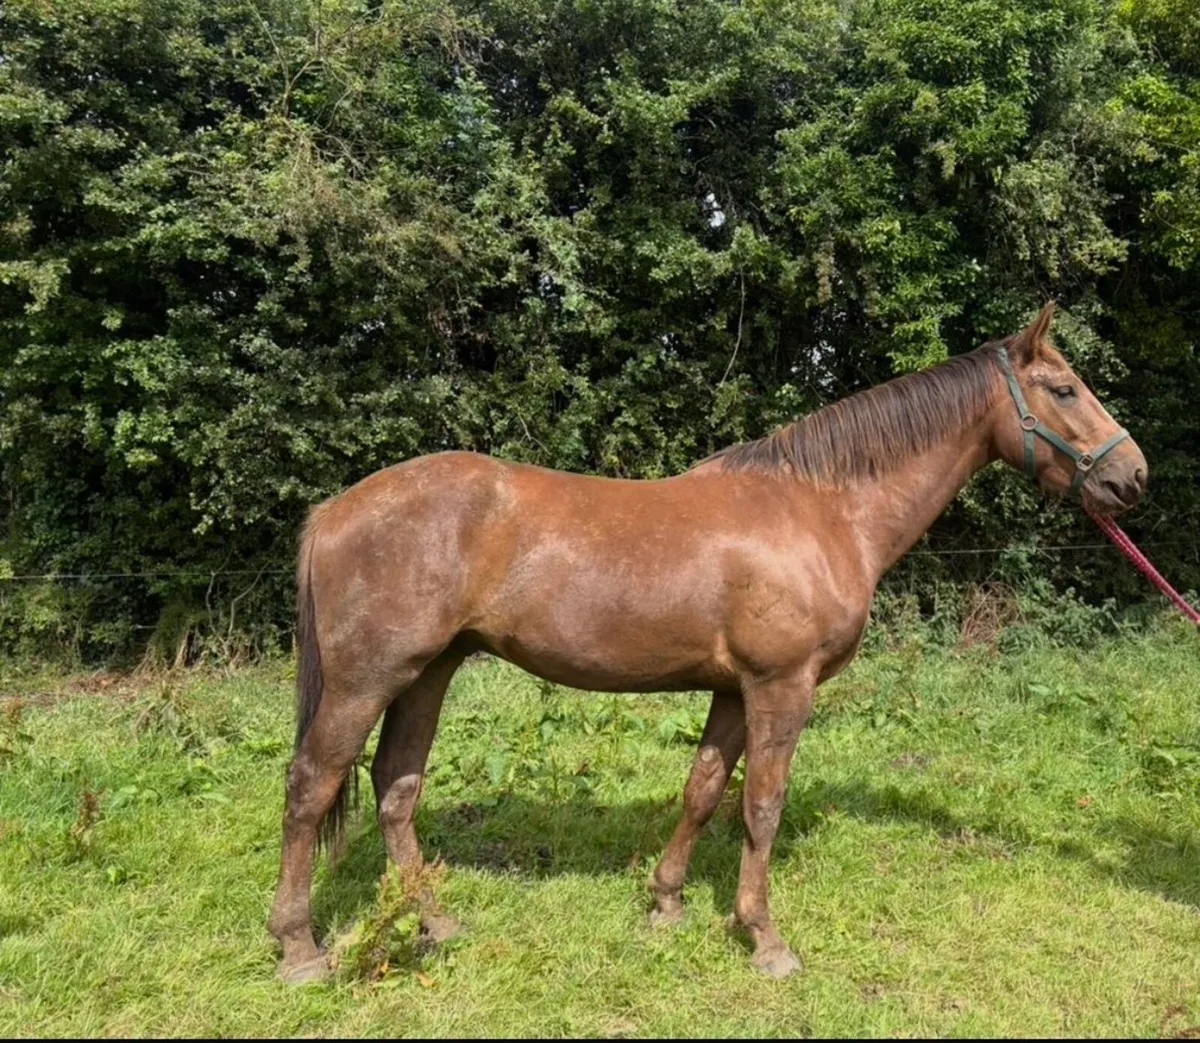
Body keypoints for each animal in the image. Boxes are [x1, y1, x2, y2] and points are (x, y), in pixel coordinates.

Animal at [267, 303, 1147, 983]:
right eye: (1064, 388)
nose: (1133, 475)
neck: (823, 509)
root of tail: (335, 510)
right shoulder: (781, 685)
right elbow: (761, 805)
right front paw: (764, 938)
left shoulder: (733, 687)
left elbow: (702, 788)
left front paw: (666, 903)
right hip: (368, 678)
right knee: (312, 785)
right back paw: (300, 947)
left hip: (428, 671)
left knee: (395, 786)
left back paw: (436, 923)